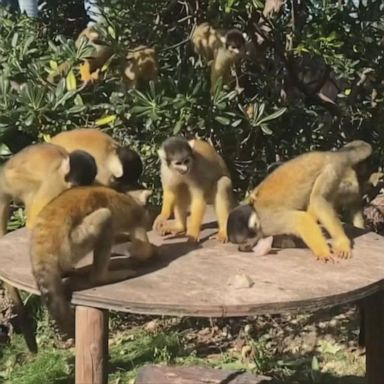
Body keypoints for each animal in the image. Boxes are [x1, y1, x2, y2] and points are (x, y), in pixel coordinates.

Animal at [30, 186, 158, 340]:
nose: (151, 218)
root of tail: (42, 247)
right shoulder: (134, 214)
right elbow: (143, 250)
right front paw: (137, 251)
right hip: (72, 245)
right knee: (106, 216)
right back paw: (102, 277)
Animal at [228, 141, 372, 260]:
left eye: (244, 242)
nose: (242, 248)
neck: (255, 211)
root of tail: (332, 154)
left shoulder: (269, 223)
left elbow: (300, 220)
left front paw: (323, 252)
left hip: (331, 170)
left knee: (317, 199)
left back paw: (342, 242)